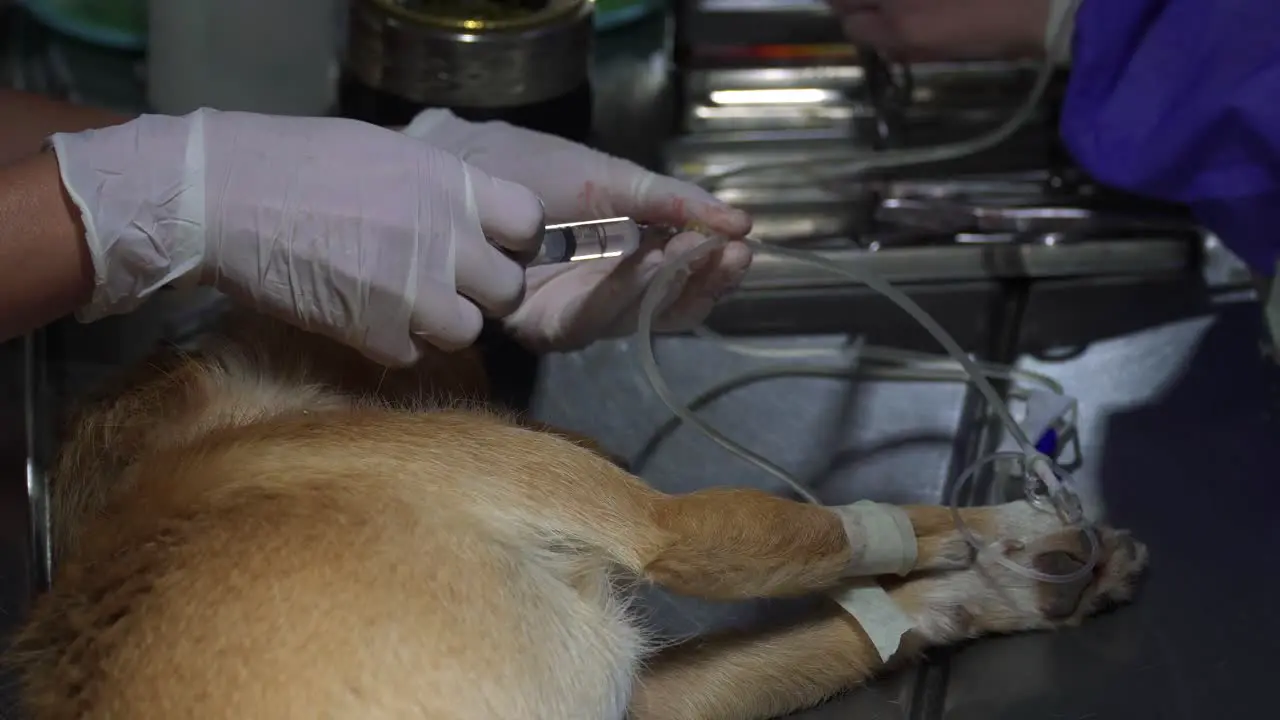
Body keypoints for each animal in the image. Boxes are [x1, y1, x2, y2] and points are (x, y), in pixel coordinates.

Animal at [5, 311, 1146, 712]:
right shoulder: (662, 526)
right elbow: (843, 531)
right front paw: (1001, 534)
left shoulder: (645, 703)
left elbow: (848, 629)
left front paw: (1002, 587)